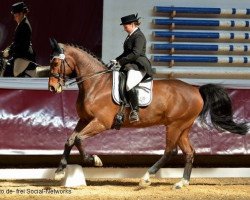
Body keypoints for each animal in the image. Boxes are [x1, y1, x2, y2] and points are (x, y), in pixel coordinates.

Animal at [47, 38, 247, 189]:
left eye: (56, 62)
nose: (52, 88)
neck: (96, 84)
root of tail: (196, 89)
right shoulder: (85, 119)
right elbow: (70, 140)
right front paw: (59, 172)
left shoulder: (101, 122)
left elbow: (79, 139)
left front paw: (94, 160)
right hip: (184, 127)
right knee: (189, 152)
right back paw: (182, 182)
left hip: (175, 125)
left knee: (170, 151)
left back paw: (146, 178)